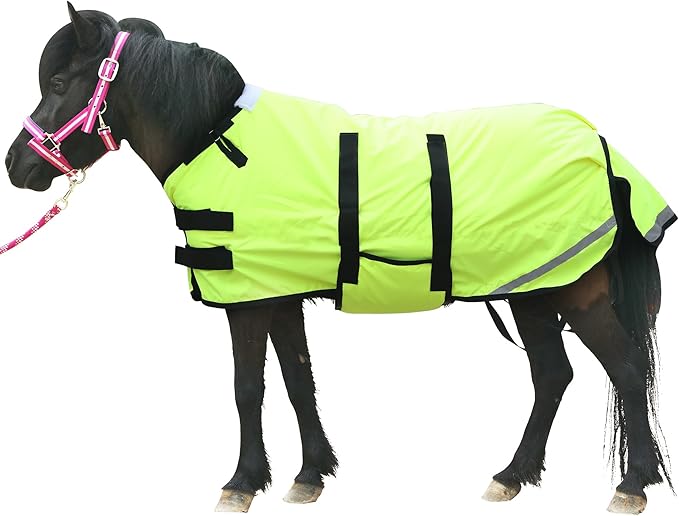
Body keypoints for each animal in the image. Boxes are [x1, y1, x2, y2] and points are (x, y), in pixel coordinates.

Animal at [3, 4, 675, 514]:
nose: (17, 165)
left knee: (623, 369)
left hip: (573, 292)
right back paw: (511, 475)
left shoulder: (248, 300)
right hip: (531, 289)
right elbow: (298, 379)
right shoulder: (276, 293)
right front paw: (310, 475)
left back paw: (631, 485)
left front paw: (242, 483)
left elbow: (248, 387)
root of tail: (597, 142)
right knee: (553, 375)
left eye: (58, 85)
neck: (217, 140)